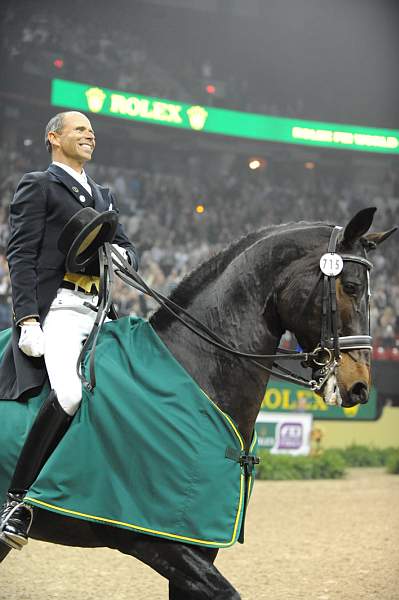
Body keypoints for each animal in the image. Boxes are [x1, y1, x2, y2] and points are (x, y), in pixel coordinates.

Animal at [0, 207, 396, 600]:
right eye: (351, 287)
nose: (360, 387)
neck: (194, 373)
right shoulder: (154, 539)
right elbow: (227, 593)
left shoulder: (194, 540)